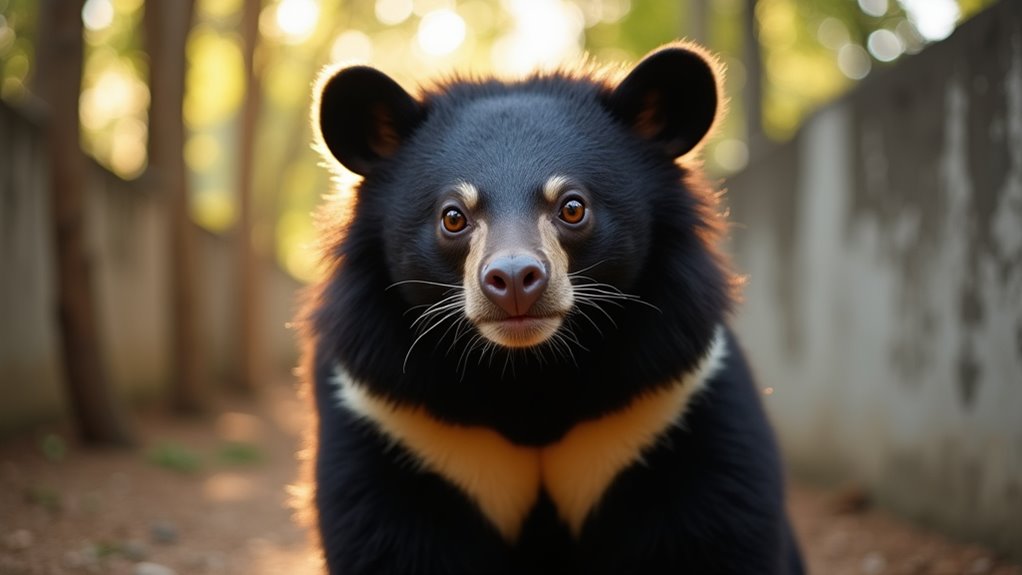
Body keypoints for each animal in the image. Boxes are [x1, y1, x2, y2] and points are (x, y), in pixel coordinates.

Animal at [298, 42, 805, 574]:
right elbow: (394, 544)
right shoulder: (394, 422)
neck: (532, 375)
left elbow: (710, 535)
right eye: (453, 217)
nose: (513, 280)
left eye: (572, 207)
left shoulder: (674, 400)